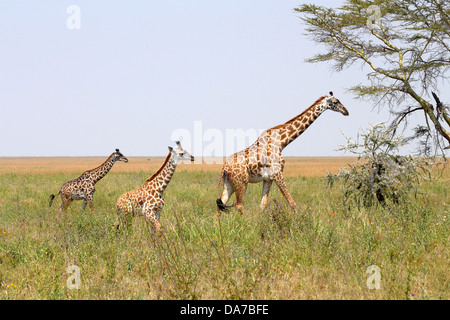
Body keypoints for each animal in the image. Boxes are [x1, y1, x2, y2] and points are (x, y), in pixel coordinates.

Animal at [216, 92, 350, 215]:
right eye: (336, 101)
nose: (346, 111)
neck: (282, 141)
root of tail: (224, 167)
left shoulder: (268, 178)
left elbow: (263, 204)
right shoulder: (278, 173)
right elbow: (291, 202)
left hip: (229, 183)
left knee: (220, 204)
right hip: (241, 182)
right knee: (239, 205)